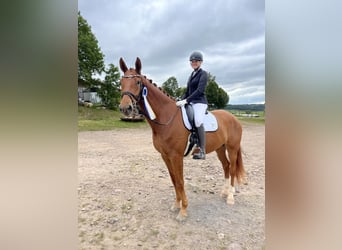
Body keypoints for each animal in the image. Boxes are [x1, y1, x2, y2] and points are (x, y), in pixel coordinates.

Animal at [119, 57, 244, 221]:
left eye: (138, 82)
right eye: (121, 82)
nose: (125, 108)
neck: (166, 118)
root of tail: (233, 118)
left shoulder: (176, 156)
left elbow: (180, 181)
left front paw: (183, 210)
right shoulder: (165, 156)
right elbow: (173, 180)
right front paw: (176, 205)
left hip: (232, 148)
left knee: (233, 168)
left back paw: (230, 197)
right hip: (220, 148)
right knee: (226, 166)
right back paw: (224, 192)